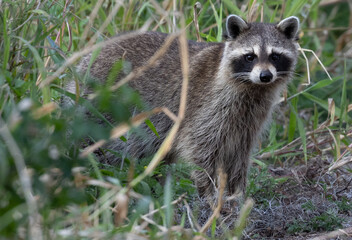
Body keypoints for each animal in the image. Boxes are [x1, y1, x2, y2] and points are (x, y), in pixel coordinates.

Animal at [73, 14, 300, 196]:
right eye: (250, 56)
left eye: (275, 56)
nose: (265, 76)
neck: (253, 88)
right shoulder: (206, 106)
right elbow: (201, 148)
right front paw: (210, 194)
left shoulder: (250, 118)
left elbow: (239, 155)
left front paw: (236, 194)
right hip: (102, 108)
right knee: (102, 145)